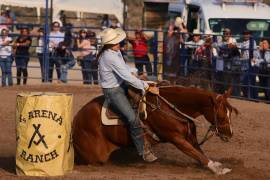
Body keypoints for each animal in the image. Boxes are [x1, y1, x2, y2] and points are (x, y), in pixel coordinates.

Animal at [72, 86, 236, 174]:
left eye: (231, 113)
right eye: (222, 116)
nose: (230, 134)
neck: (171, 107)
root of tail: (76, 121)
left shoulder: (191, 138)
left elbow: (200, 152)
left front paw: (217, 165)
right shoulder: (176, 139)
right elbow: (197, 154)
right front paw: (218, 170)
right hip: (95, 156)